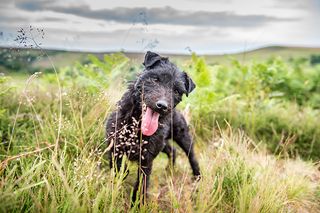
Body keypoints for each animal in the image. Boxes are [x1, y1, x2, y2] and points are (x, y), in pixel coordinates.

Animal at [105, 50, 200, 204]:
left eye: (177, 91)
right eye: (156, 79)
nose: (162, 106)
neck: (136, 125)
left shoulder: (146, 161)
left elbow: (141, 185)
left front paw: (137, 204)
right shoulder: (116, 151)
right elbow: (118, 173)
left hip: (183, 136)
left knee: (192, 156)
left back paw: (197, 177)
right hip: (163, 143)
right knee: (172, 151)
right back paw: (169, 170)